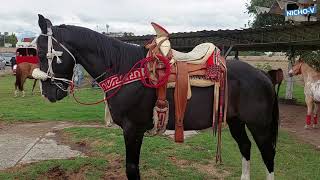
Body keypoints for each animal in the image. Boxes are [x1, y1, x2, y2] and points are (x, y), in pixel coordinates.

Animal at [35, 14, 278, 179]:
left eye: (42, 53)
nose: (48, 94)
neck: (124, 69)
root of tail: (263, 76)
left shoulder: (133, 129)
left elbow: (131, 169)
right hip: (235, 121)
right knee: (245, 147)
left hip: (260, 126)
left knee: (267, 154)